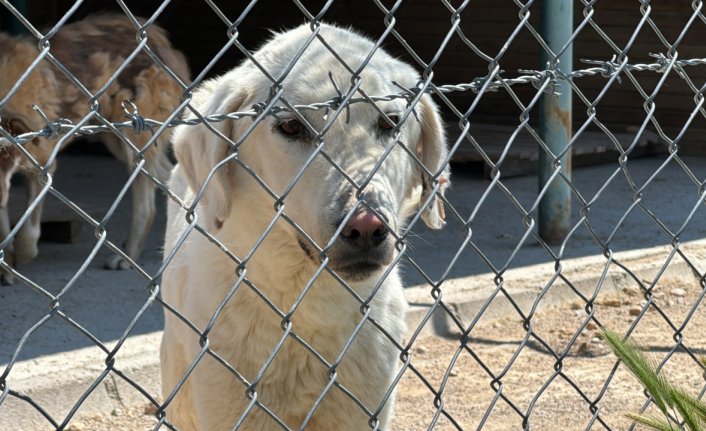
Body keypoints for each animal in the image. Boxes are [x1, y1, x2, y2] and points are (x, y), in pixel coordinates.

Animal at [0, 14, 188, 284]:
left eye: (4, 154)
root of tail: (159, 36)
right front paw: (6, 265)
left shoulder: (43, 165)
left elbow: (29, 235)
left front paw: (20, 258)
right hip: (121, 142)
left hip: (131, 138)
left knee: (148, 205)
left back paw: (127, 257)